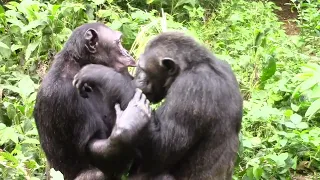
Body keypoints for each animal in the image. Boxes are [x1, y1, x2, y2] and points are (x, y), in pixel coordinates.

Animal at [33, 22, 151, 180]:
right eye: (118, 42)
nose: (127, 52)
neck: (79, 64)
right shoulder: (64, 94)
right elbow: (92, 145)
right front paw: (130, 122)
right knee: (95, 174)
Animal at [72, 31, 242, 179]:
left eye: (143, 68)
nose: (137, 78)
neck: (192, 65)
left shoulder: (192, 89)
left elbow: (161, 148)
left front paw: (101, 74)